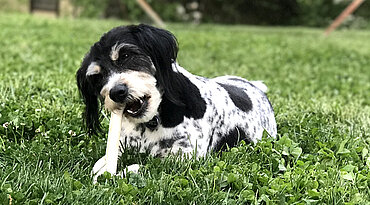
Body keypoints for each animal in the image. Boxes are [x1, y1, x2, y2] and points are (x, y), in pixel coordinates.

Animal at [76, 24, 278, 180]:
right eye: (96, 77)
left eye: (126, 55)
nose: (117, 92)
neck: (154, 121)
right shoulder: (123, 146)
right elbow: (99, 164)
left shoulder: (184, 157)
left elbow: (147, 167)